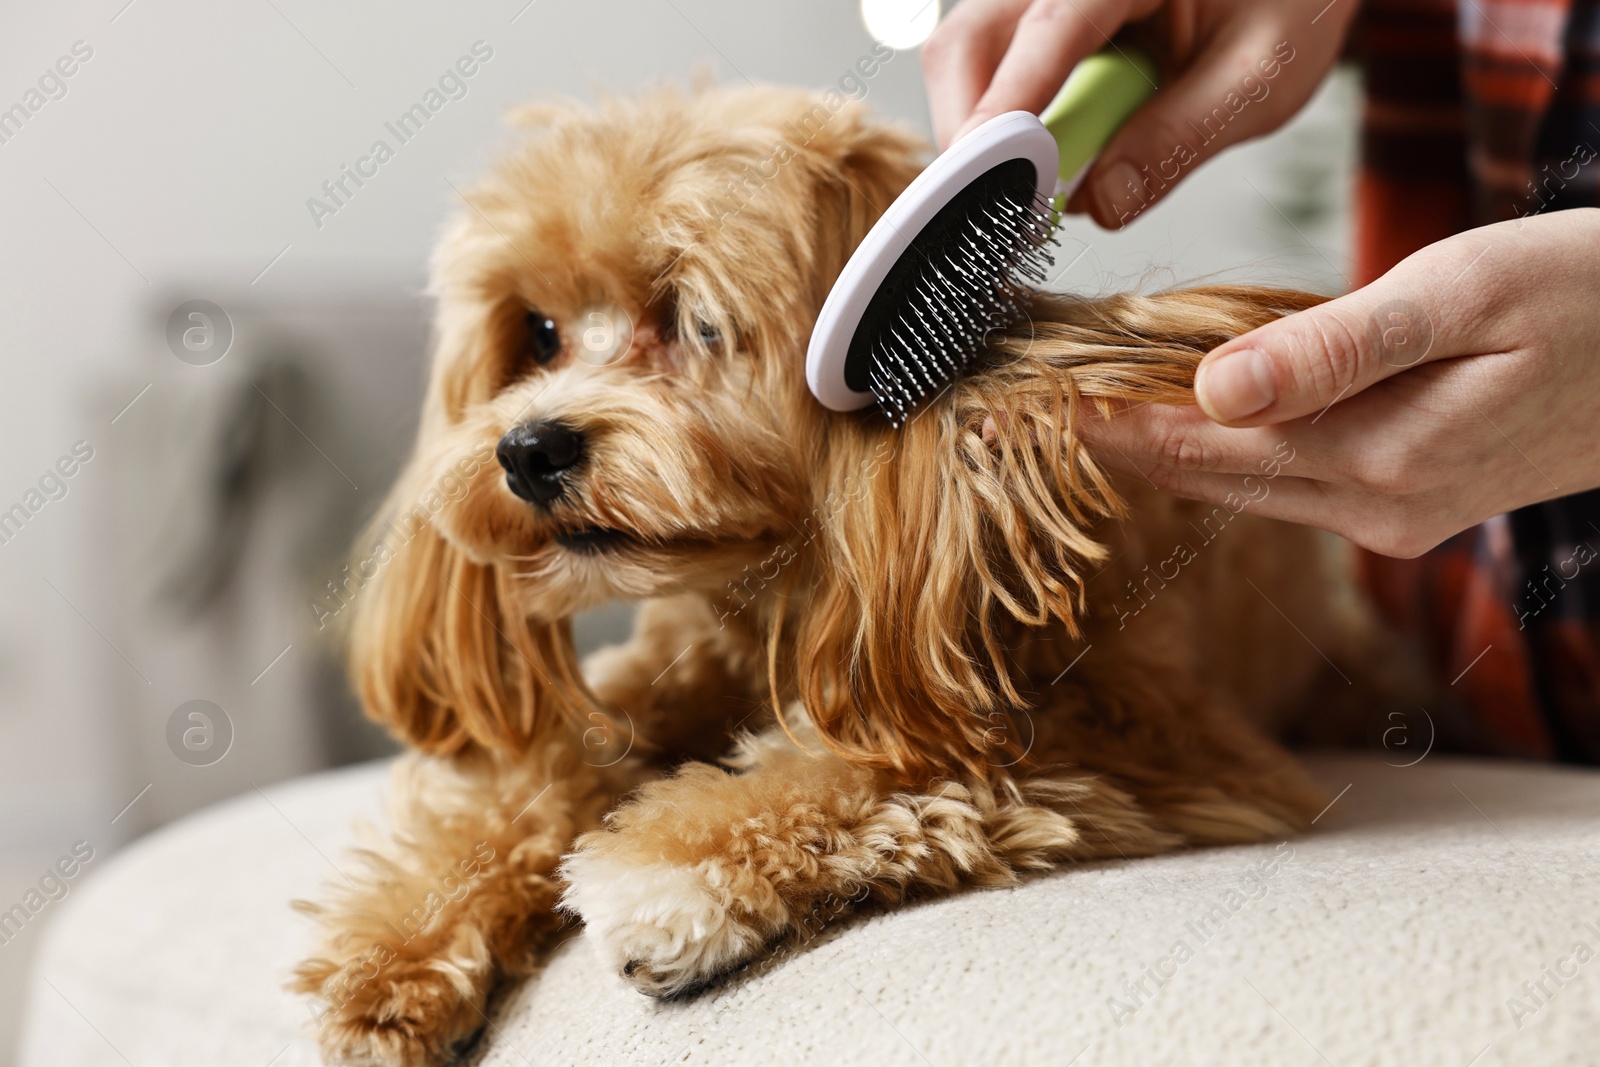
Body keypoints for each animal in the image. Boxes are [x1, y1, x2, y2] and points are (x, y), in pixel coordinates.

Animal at [294, 83, 1408, 1067]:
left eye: (695, 320)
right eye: (537, 331)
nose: (527, 449)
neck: (779, 593)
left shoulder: (1149, 737)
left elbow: (860, 766)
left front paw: (673, 875)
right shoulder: (656, 677)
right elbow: (526, 785)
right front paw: (393, 952)